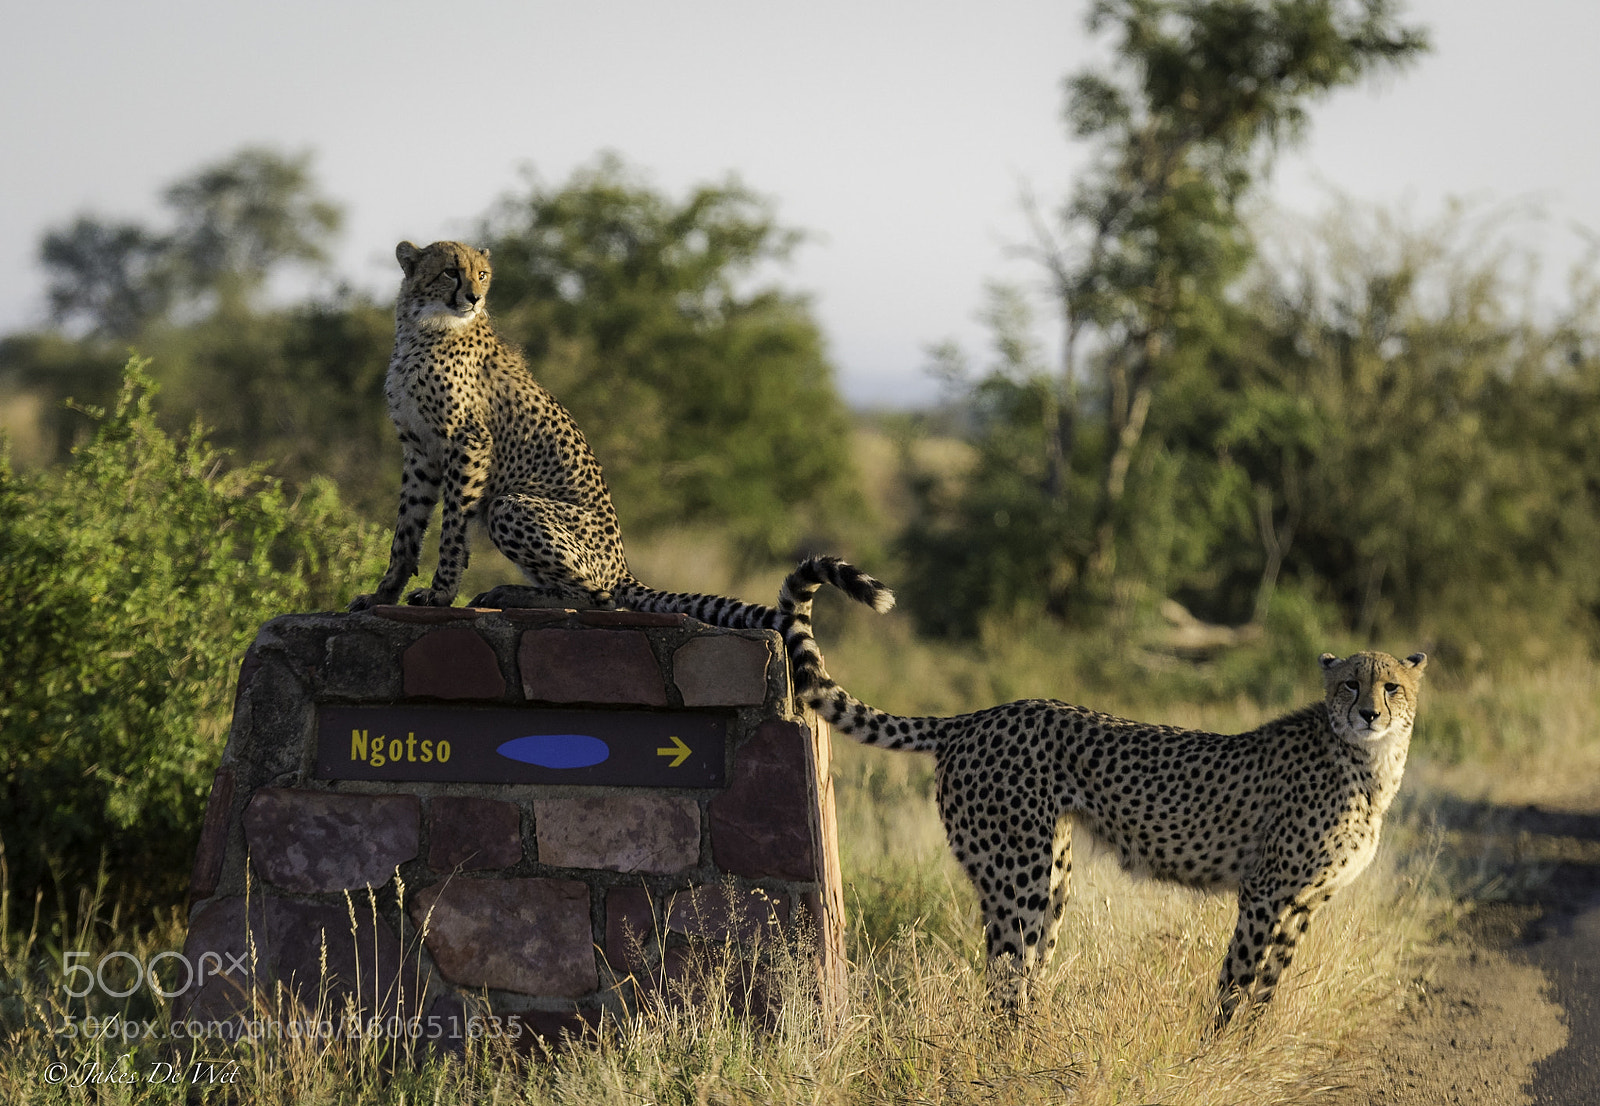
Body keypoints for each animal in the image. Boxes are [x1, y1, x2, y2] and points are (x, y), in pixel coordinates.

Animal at [347, 242, 893, 656]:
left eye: (481, 273)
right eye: (449, 272)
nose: (474, 297)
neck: (424, 328)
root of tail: (622, 563)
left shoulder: (468, 444)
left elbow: (452, 531)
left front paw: (439, 595)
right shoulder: (418, 449)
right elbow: (406, 532)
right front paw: (381, 593)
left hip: (512, 506)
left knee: (600, 598)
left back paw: (516, 594)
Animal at [777, 556, 1427, 1030]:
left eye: (1392, 686)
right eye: (1350, 684)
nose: (1370, 714)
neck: (1369, 765)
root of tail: (979, 716)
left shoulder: (1305, 902)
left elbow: (1267, 987)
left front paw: (1254, 1044)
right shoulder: (1266, 893)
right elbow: (1239, 979)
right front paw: (1220, 1048)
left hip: (1051, 876)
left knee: (1020, 969)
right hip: (1018, 876)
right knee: (1004, 976)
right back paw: (1018, 1056)